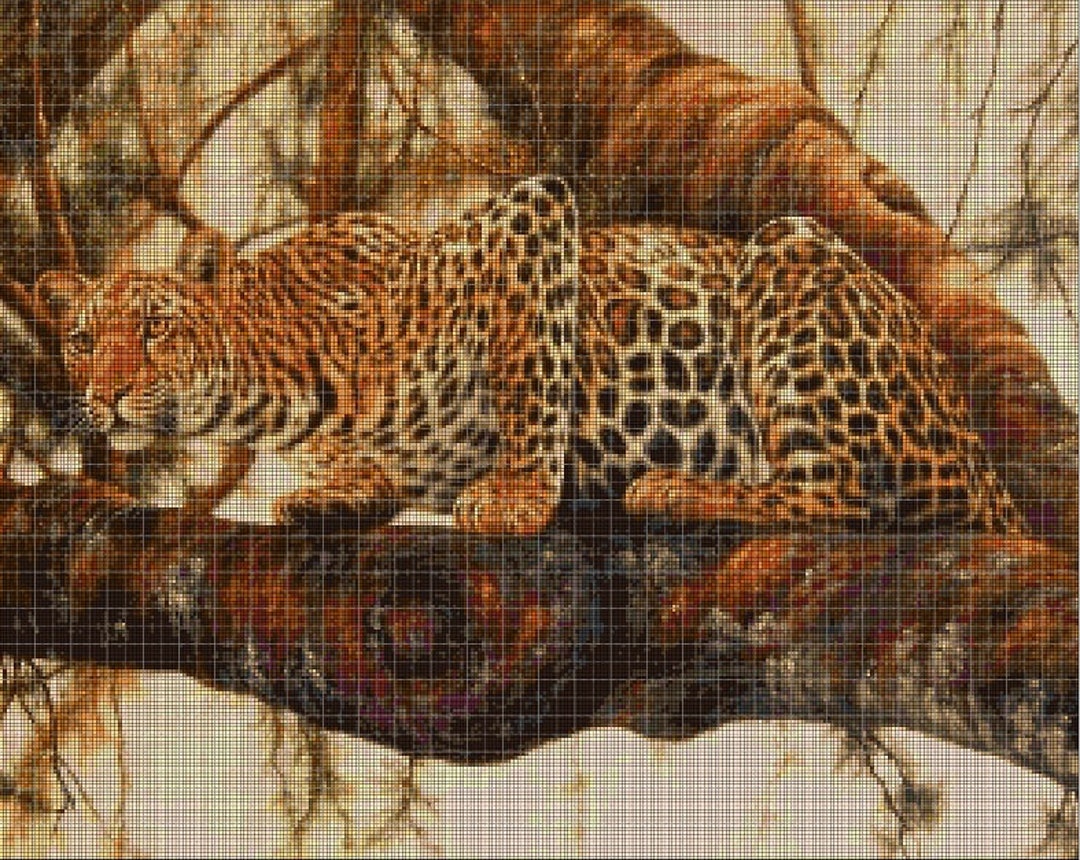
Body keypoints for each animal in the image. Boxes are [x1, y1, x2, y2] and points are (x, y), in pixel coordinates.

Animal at [43, 176, 1023, 537]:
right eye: (83, 341)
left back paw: (680, 491)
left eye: (155, 326)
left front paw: (516, 495)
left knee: (842, 495)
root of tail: (984, 463)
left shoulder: (528, 216)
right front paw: (337, 489)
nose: (109, 394)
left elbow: (532, 380)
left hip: (792, 260)